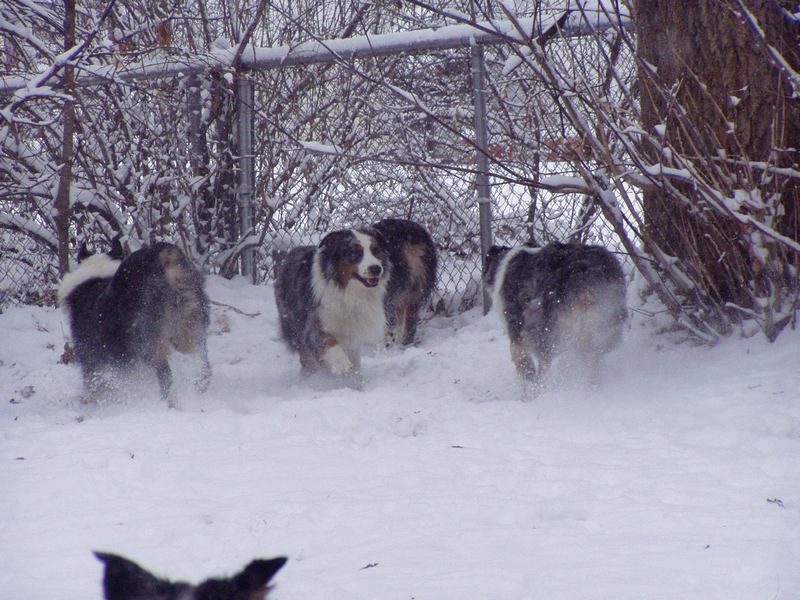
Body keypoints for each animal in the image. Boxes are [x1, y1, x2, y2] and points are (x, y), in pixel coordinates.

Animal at [58, 240, 211, 408]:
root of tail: (161, 255)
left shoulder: (91, 355)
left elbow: (93, 384)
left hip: (146, 338)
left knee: (165, 374)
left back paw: (170, 403)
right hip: (191, 324)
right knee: (202, 360)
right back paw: (200, 385)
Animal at [274, 225, 390, 384]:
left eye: (375, 250)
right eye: (355, 252)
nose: (376, 268)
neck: (347, 291)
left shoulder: (352, 332)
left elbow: (355, 363)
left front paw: (356, 383)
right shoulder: (313, 323)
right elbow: (328, 341)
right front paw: (342, 364)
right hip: (293, 323)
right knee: (307, 358)